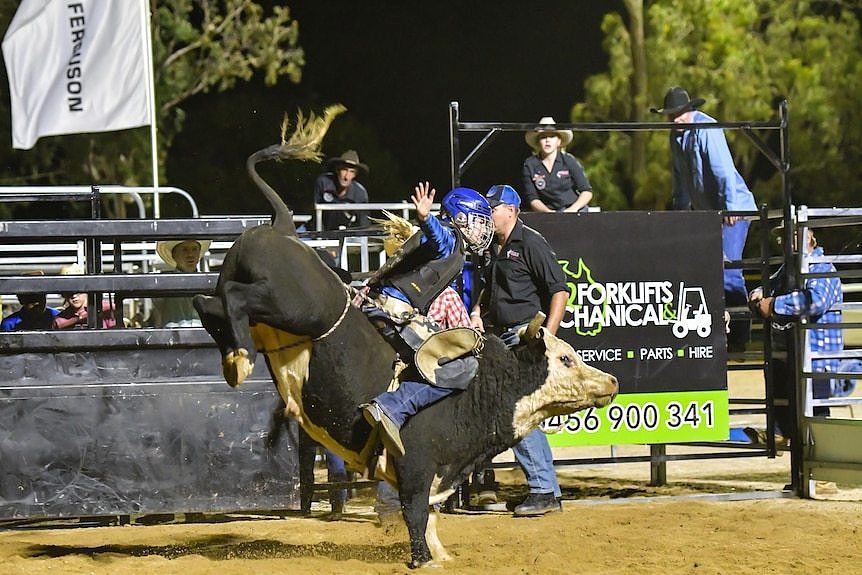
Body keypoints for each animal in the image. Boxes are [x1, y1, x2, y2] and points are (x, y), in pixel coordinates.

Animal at [194, 111, 620, 568]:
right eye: (565, 359)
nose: (612, 382)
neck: (485, 391)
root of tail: (284, 227)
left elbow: (431, 514)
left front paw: (441, 555)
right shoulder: (417, 466)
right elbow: (416, 512)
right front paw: (421, 559)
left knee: (209, 301)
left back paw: (233, 358)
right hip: (293, 306)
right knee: (233, 297)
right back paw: (240, 359)